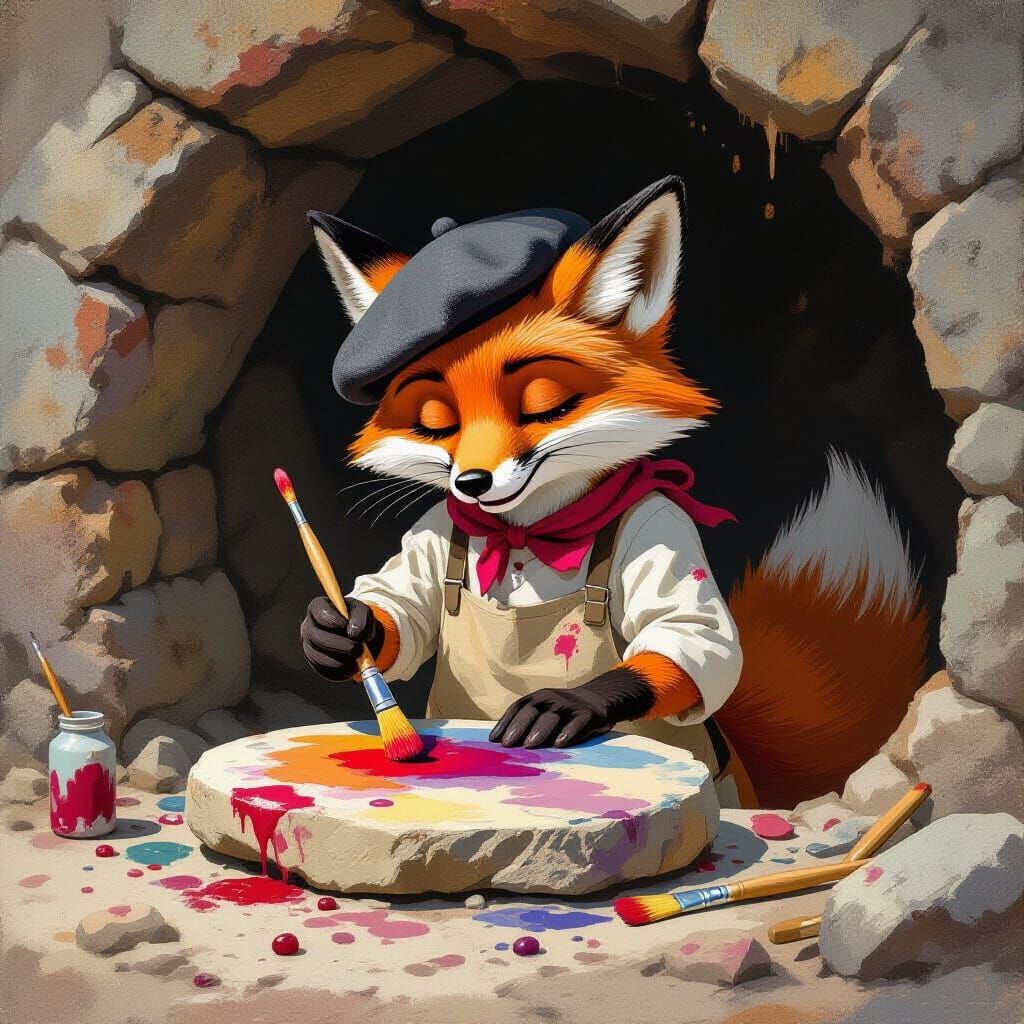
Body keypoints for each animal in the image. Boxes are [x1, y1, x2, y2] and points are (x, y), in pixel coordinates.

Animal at [299, 176, 928, 808]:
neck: (529, 531)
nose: (471, 483)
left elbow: (692, 633)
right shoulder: (435, 530)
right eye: (435, 419)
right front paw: (337, 631)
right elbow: (401, 608)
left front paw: (569, 703)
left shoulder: (661, 528)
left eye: (544, 401)